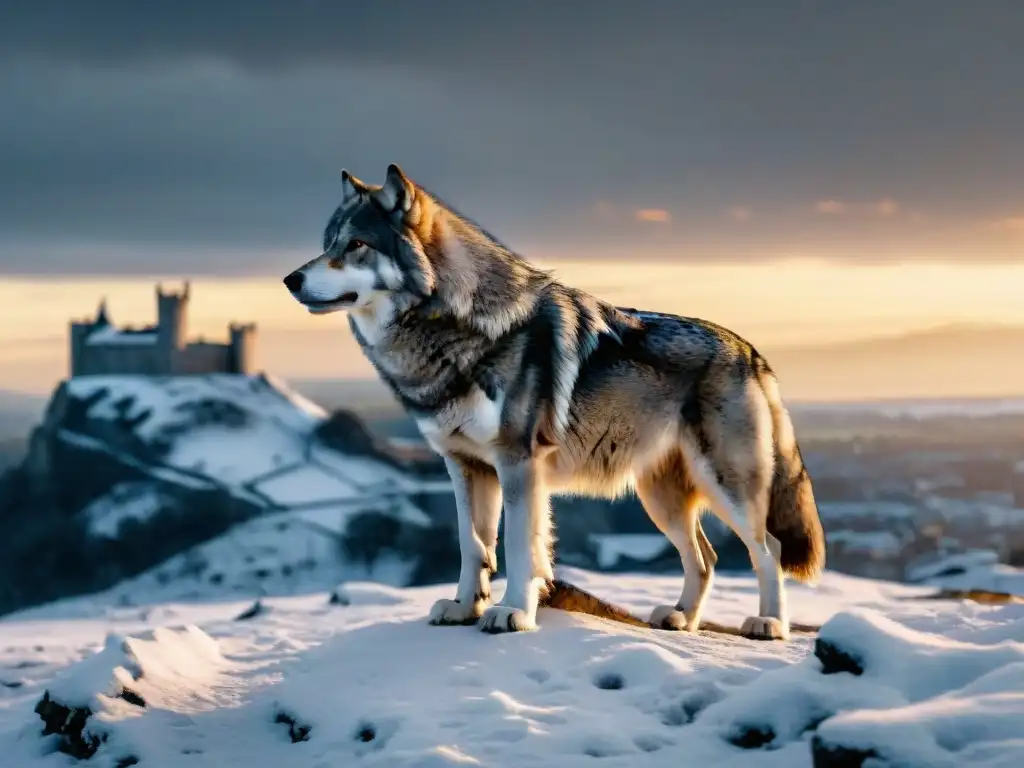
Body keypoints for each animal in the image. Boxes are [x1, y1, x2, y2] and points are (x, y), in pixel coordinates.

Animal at [284, 163, 827, 643]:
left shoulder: (519, 464)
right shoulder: (464, 467)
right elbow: (473, 546)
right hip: (660, 499)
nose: (291, 280)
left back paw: (769, 625)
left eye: (356, 245)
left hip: (726, 487)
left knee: (769, 548)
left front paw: (512, 614)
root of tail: (751, 352)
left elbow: (520, 547)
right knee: (707, 558)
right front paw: (464, 608)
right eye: (327, 244)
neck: (455, 329)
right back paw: (680, 619)